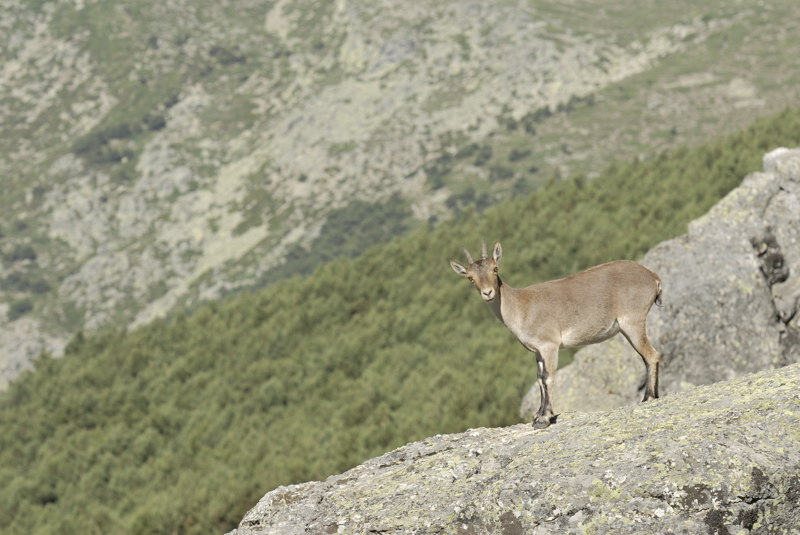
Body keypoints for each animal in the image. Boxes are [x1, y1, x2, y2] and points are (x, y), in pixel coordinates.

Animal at [450, 243, 664, 432]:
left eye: (495, 269)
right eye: (470, 277)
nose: (488, 293)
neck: (521, 307)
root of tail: (653, 277)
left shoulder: (550, 345)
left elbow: (548, 377)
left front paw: (543, 419)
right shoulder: (537, 351)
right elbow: (539, 378)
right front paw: (539, 414)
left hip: (632, 322)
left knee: (651, 355)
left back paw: (648, 398)